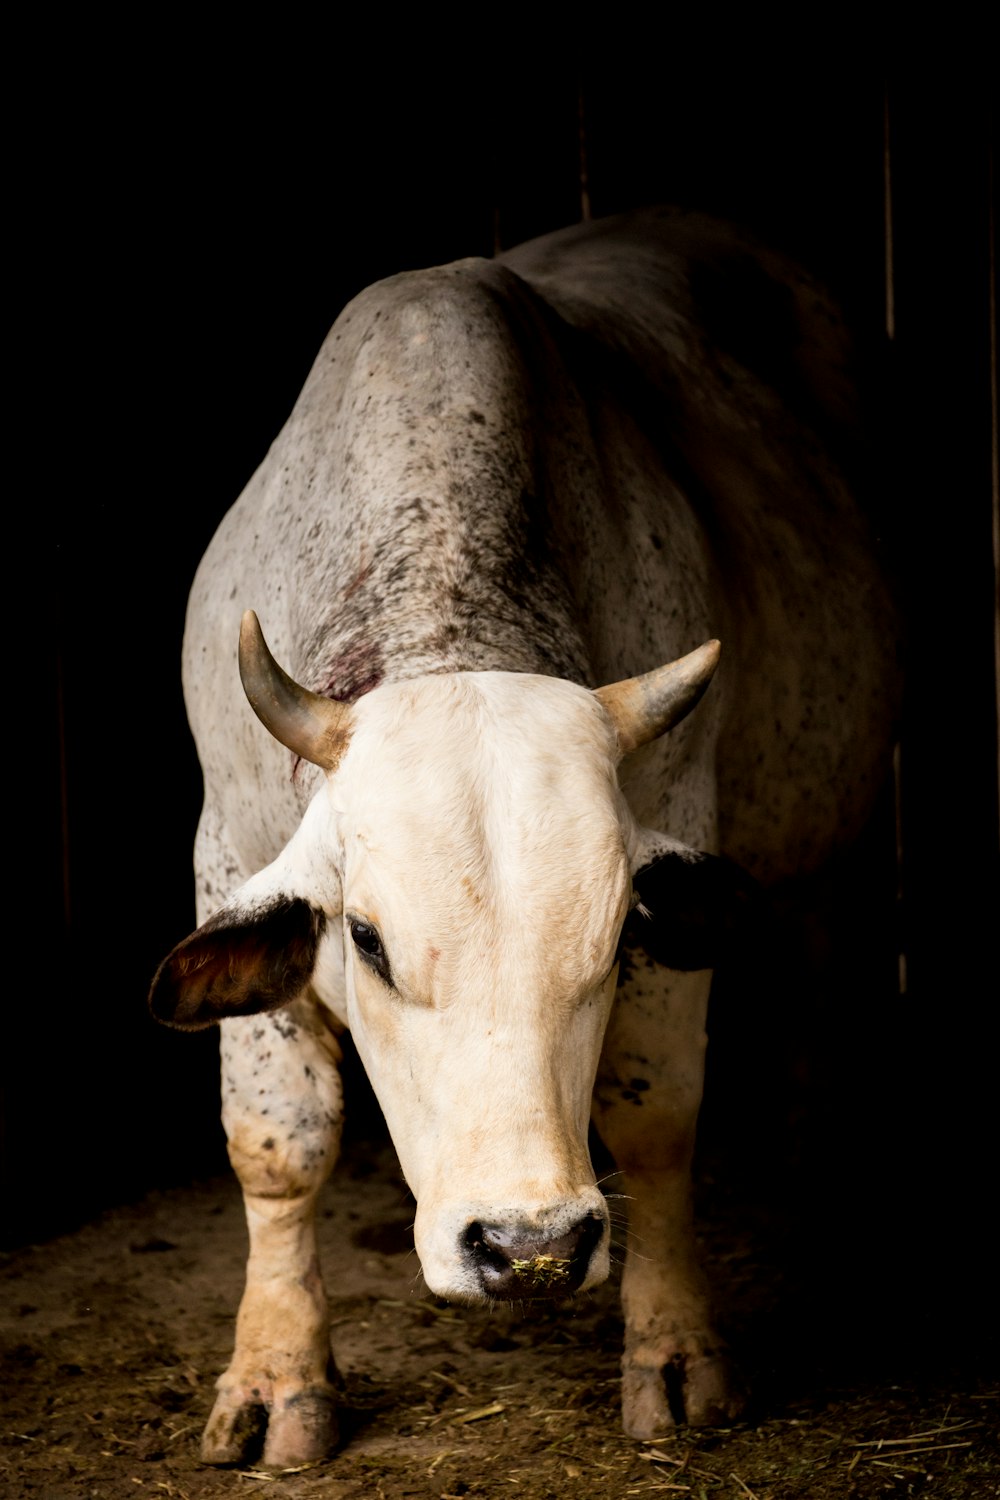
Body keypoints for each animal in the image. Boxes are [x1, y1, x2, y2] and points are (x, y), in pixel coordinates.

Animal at [150, 205, 905, 1470]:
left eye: (608, 941)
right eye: (366, 939)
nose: (529, 1248)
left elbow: (656, 1122)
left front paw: (674, 1352)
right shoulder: (226, 850)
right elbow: (277, 1142)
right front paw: (273, 1377)